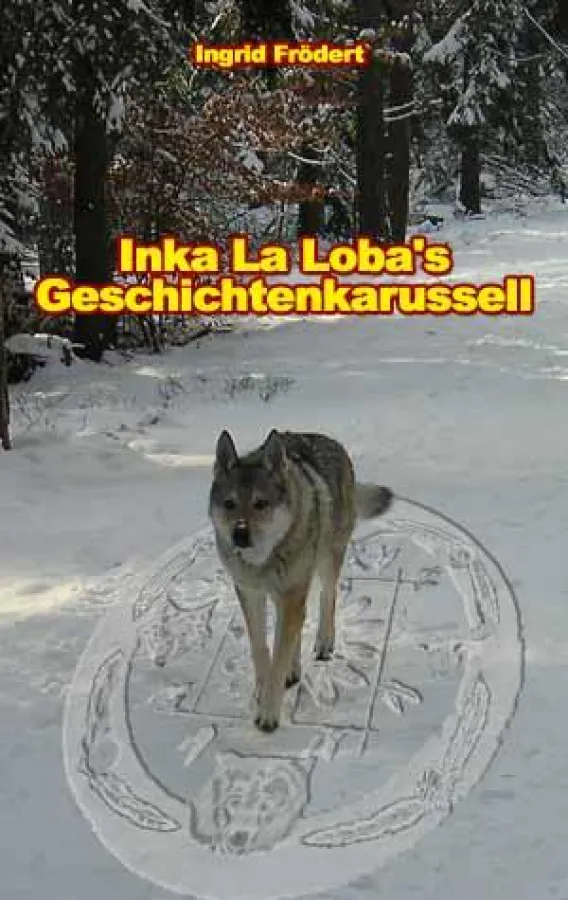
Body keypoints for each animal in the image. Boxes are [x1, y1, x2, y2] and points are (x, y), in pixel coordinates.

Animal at [209, 429, 393, 733]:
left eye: (261, 504)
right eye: (229, 504)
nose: (240, 534)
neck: (263, 562)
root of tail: (331, 441)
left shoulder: (290, 593)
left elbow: (279, 657)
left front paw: (268, 714)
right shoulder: (250, 592)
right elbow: (261, 649)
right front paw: (263, 689)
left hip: (326, 563)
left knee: (327, 598)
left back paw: (324, 643)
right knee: (299, 621)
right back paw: (293, 669)